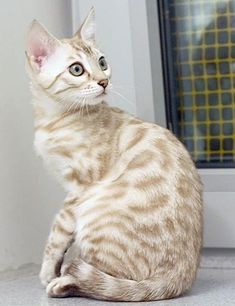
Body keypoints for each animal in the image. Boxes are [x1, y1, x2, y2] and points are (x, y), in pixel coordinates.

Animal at [25, 8, 202, 302]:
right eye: (77, 69)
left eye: (102, 62)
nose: (104, 81)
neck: (53, 119)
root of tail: (181, 276)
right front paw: (53, 269)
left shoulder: (78, 188)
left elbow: (57, 234)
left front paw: (48, 271)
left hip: (94, 213)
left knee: (114, 282)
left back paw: (66, 282)